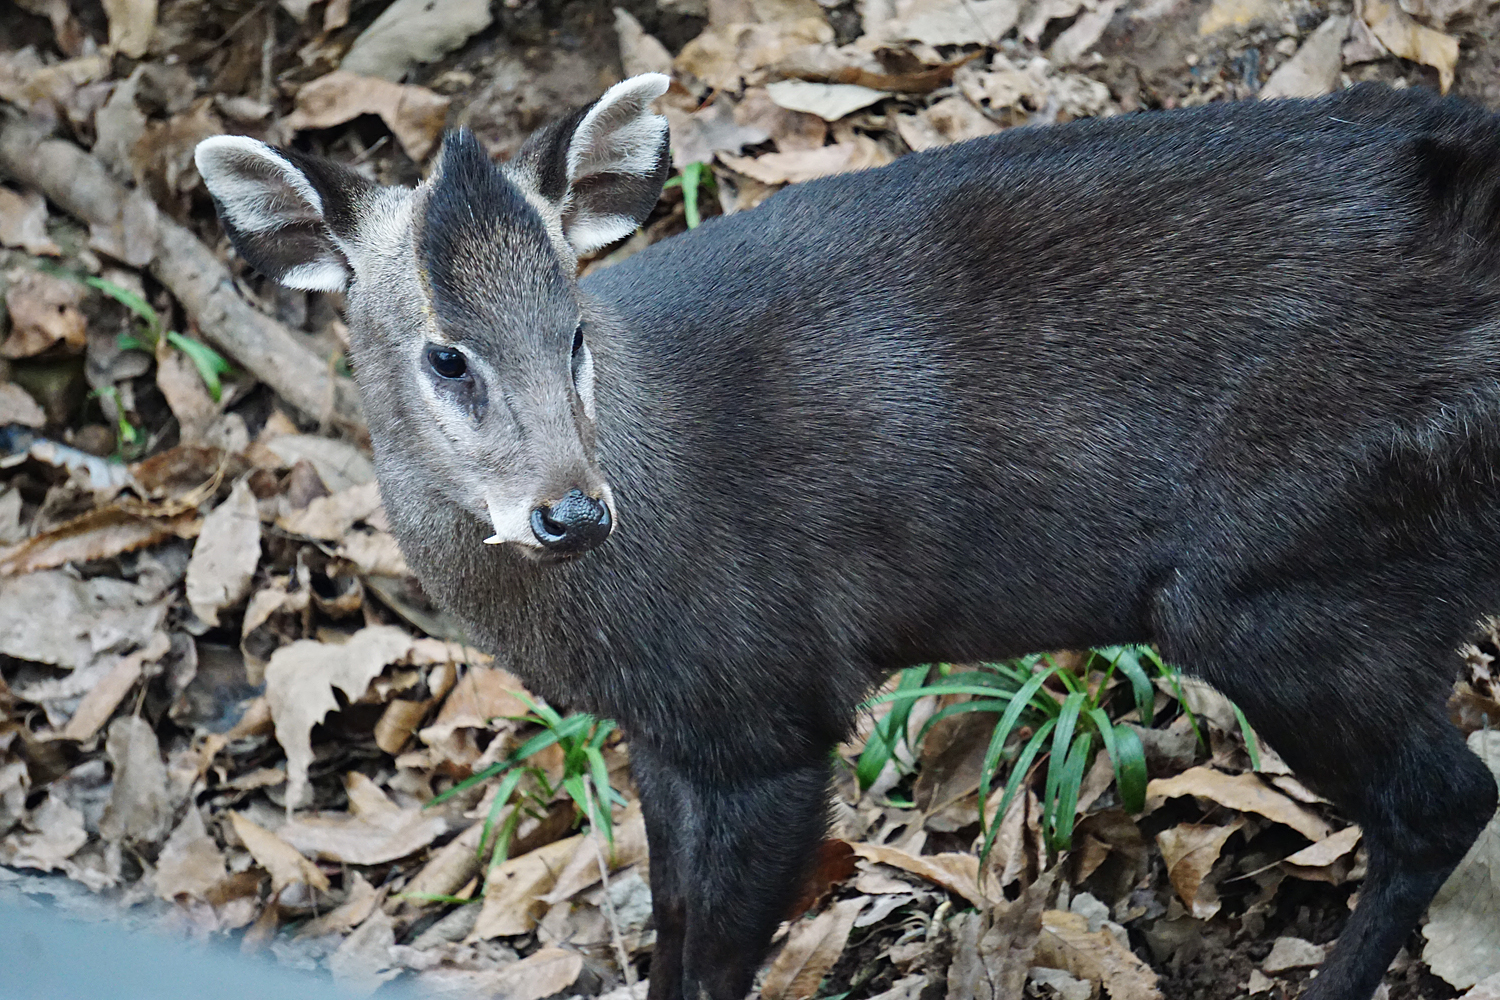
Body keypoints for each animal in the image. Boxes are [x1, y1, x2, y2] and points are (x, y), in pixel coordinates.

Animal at [195, 76, 1500, 1000]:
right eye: (445, 354)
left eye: (572, 329)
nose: (571, 511)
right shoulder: (673, 731)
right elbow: (671, 927)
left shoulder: (770, 706)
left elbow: (715, 957)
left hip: (1301, 575)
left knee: (1445, 797)